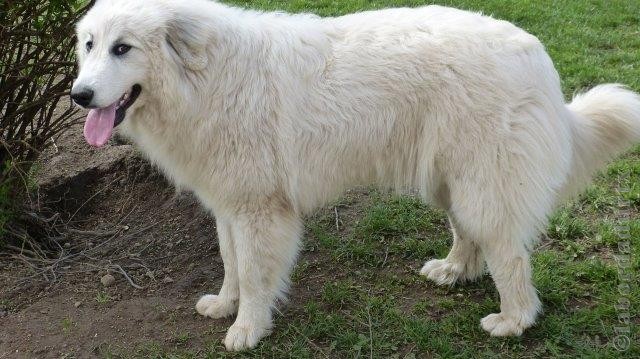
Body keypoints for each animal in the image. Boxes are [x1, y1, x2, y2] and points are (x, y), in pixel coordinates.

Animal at [71, 0, 640, 352]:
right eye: (89, 45)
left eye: (123, 48)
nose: (78, 95)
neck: (202, 76)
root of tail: (536, 54)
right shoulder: (229, 205)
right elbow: (232, 263)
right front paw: (225, 305)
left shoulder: (259, 209)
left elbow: (254, 273)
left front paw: (248, 329)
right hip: (450, 180)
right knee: (470, 237)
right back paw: (453, 271)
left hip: (484, 185)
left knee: (510, 258)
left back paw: (512, 322)